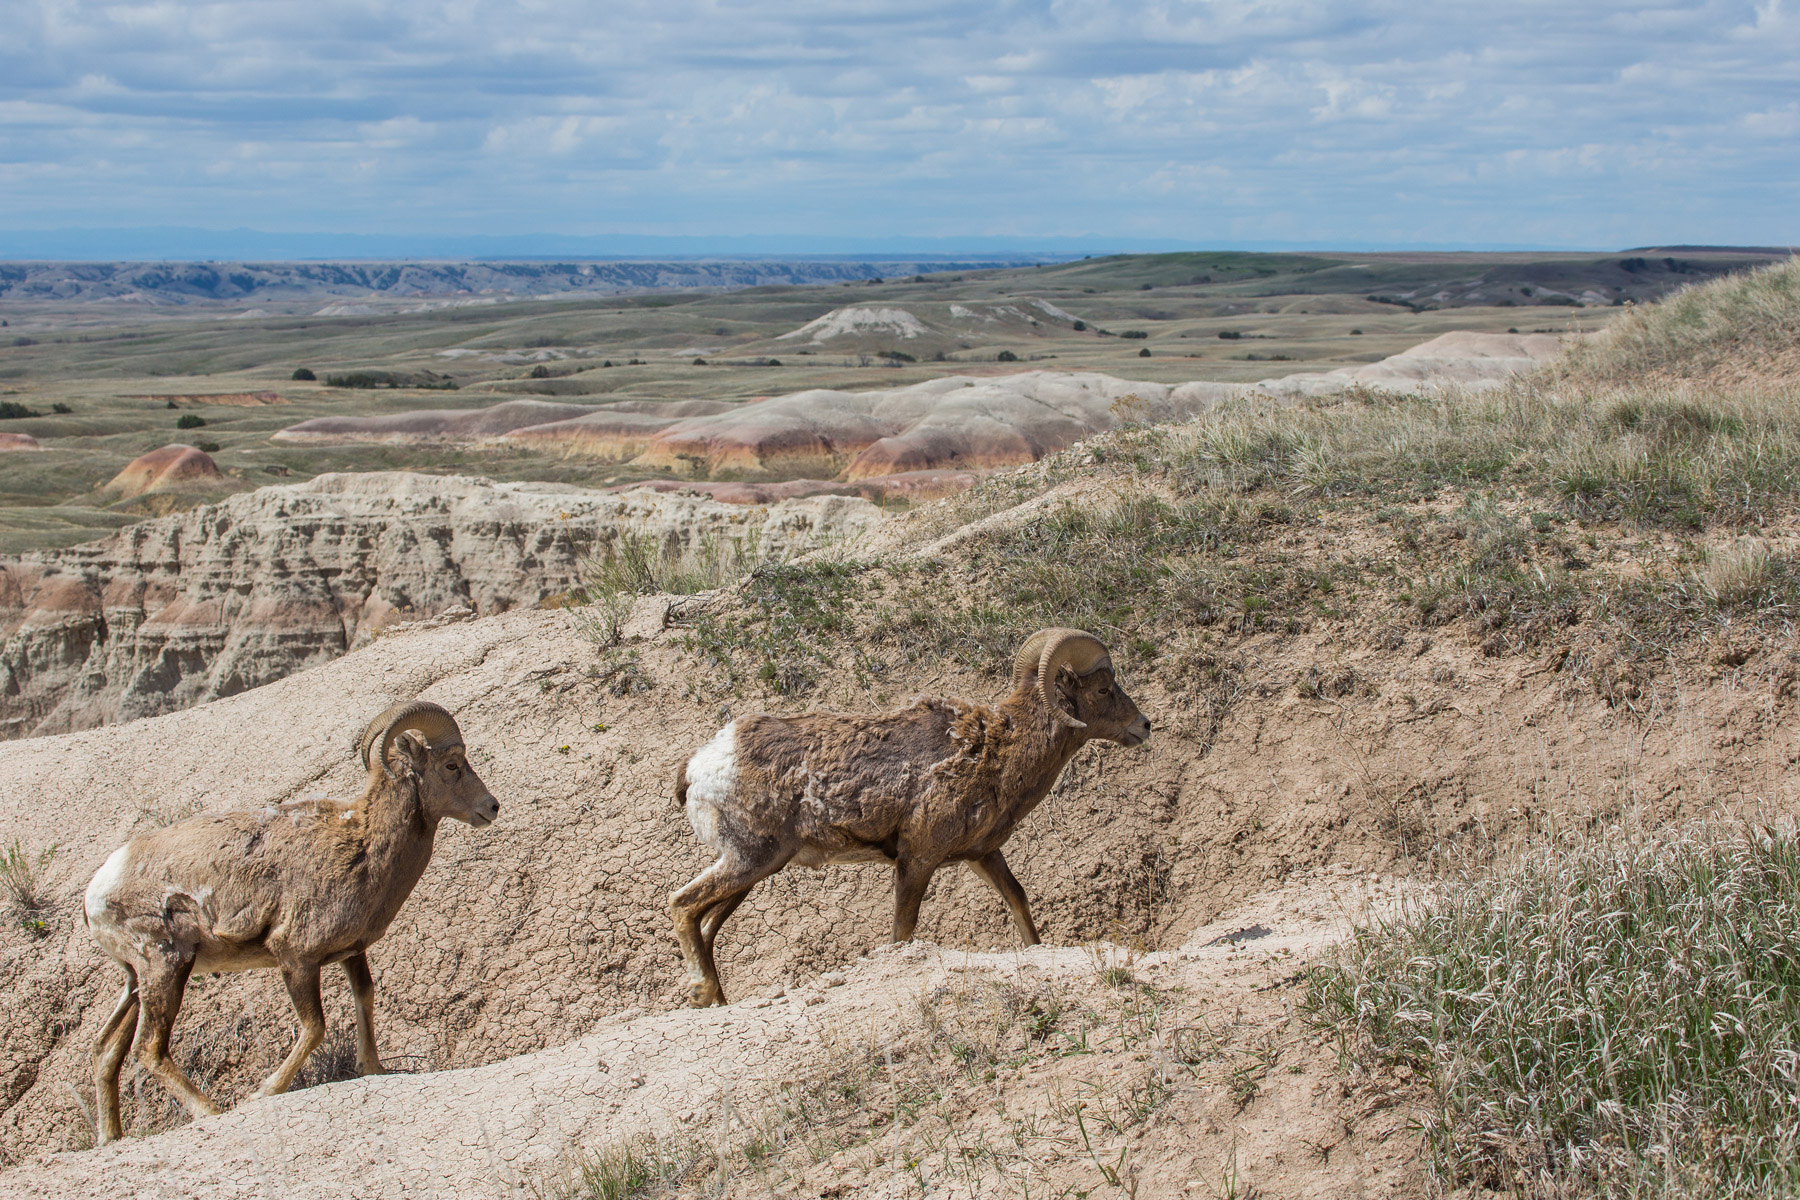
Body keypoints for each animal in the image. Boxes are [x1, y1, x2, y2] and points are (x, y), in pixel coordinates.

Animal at [81, 705, 496, 1144]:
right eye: (451, 765)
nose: (492, 807)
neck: (362, 844)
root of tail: (97, 890)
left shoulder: (351, 953)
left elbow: (364, 998)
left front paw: (373, 1069)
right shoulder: (296, 958)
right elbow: (314, 1028)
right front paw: (262, 1092)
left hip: (136, 981)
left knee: (105, 1049)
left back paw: (110, 1138)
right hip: (166, 967)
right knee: (149, 1048)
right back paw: (210, 1111)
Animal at [669, 626, 1144, 1007]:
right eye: (1103, 690)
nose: (1145, 726)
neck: (995, 753)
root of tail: (699, 766)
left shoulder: (982, 855)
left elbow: (1018, 901)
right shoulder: (917, 860)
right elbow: (903, 931)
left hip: (753, 871)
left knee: (706, 928)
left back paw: (716, 1002)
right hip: (750, 860)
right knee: (683, 904)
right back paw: (702, 994)